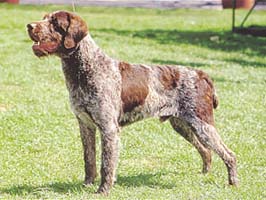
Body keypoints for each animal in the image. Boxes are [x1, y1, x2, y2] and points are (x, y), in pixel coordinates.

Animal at [27, 10, 239, 194]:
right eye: (44, 18)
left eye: (55, 22)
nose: (29, 25)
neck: (84, 69)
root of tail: (201, 74)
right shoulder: (85, 125)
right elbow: (89, 159)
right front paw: (86, 185)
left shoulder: (109, 129)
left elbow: (106, 164)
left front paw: (103, 190)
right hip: (183, 124)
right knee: (206, 151)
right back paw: (205, 175)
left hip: (203, 124)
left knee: (229, 154)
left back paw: (233, 183)